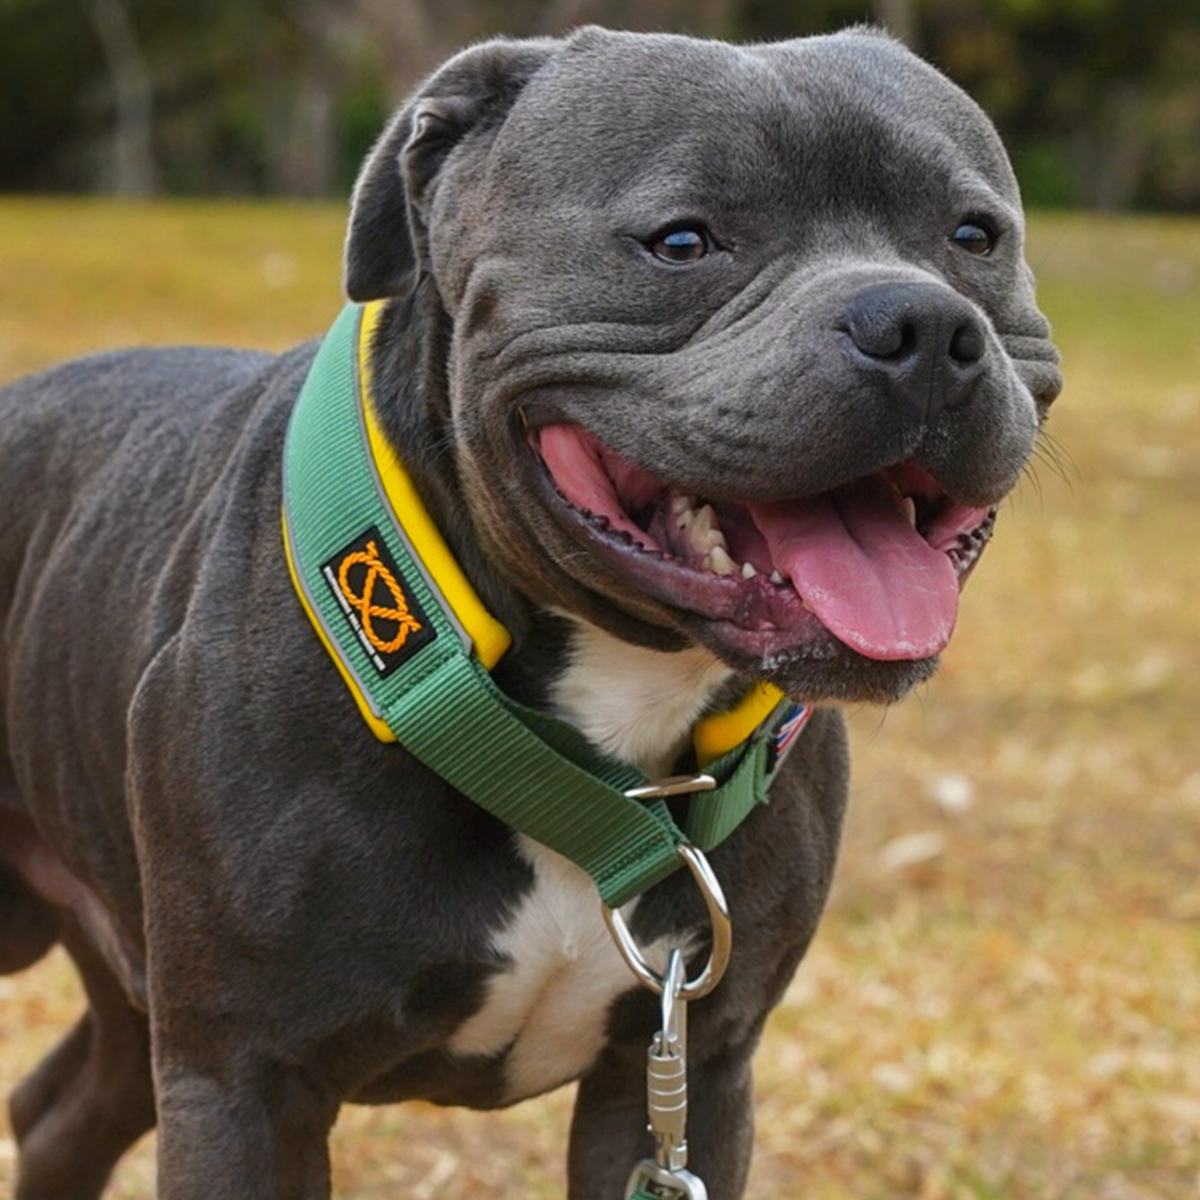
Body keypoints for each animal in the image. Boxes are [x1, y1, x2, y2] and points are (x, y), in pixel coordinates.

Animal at [0, 25, 1060, 1200]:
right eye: (682, 241)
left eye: (974, 236)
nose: (920, 321)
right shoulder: (244, 1079)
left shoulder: (686, 1065)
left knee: (61, 1110)